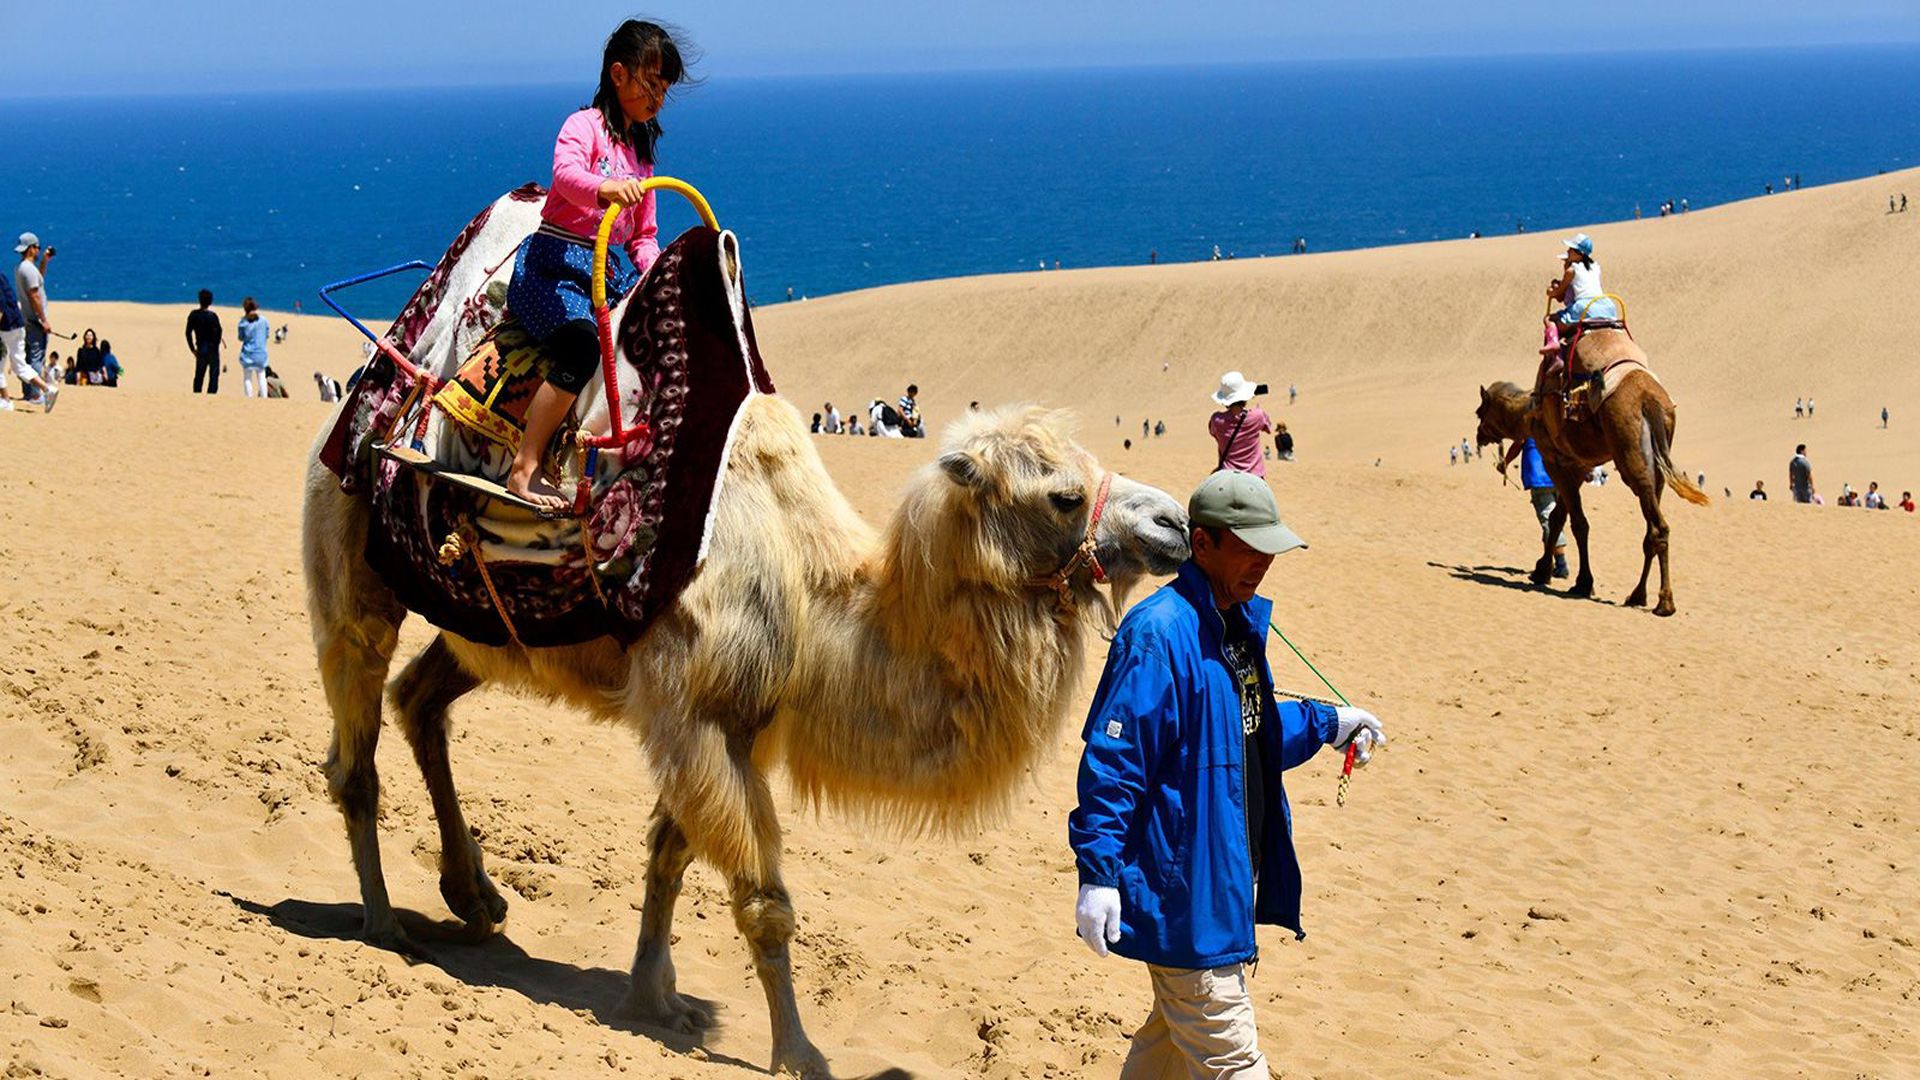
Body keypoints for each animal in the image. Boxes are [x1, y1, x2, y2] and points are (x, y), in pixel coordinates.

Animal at [303, 390, 1182, 1068]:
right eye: (1062, 494)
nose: (1173, 520)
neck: (817, 596)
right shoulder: (699, 720)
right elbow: (763, 903)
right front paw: (799, 1053)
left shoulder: (739, 726)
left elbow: (669, 853)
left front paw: (656, 1000)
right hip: (352, 574)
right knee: (356, 749)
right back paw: (384, 925)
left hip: (481, 629)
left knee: (419, 700)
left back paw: (473, 896)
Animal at [1466, 322, 1712, 614]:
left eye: (1481, 411)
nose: (1479, 435)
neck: (1529, 413)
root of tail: (1650, 399)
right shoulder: (1574, 467)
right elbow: (1558, 517)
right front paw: (1542, 570)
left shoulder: (1555, 461)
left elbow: (1577, 523)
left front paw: (1581, 582)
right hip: (1658, 460)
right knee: (1652, 526)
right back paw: (1638, 595)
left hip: (1629, 452)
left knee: (1657, 526)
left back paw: (1664, 602)